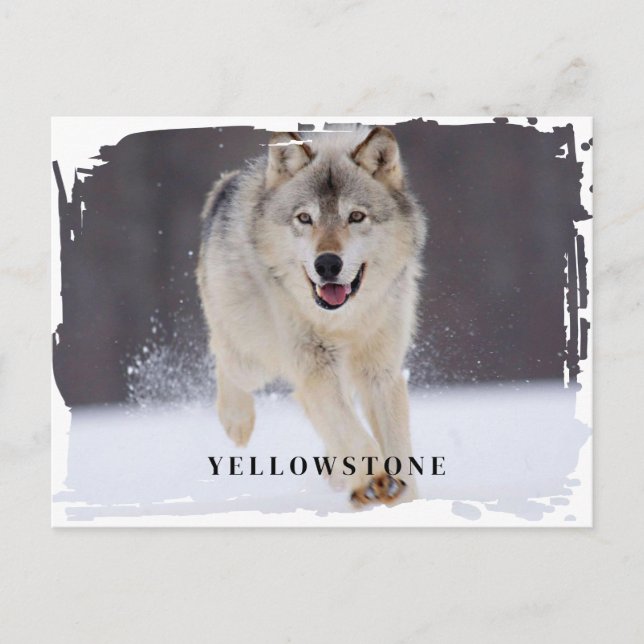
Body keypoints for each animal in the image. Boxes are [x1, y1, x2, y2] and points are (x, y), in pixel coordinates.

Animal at [197, 126, 426, 506]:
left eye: (356, 216)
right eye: (305, 218)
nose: (328, 264)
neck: (344, 321)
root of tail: (225, 186)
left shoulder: (381, 371)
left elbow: (395, 445)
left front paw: (401, 494)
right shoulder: (315, 366)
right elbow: (352, 431)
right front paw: (375, 479)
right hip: (254, 358)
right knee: (223, 356)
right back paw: (237, 421)